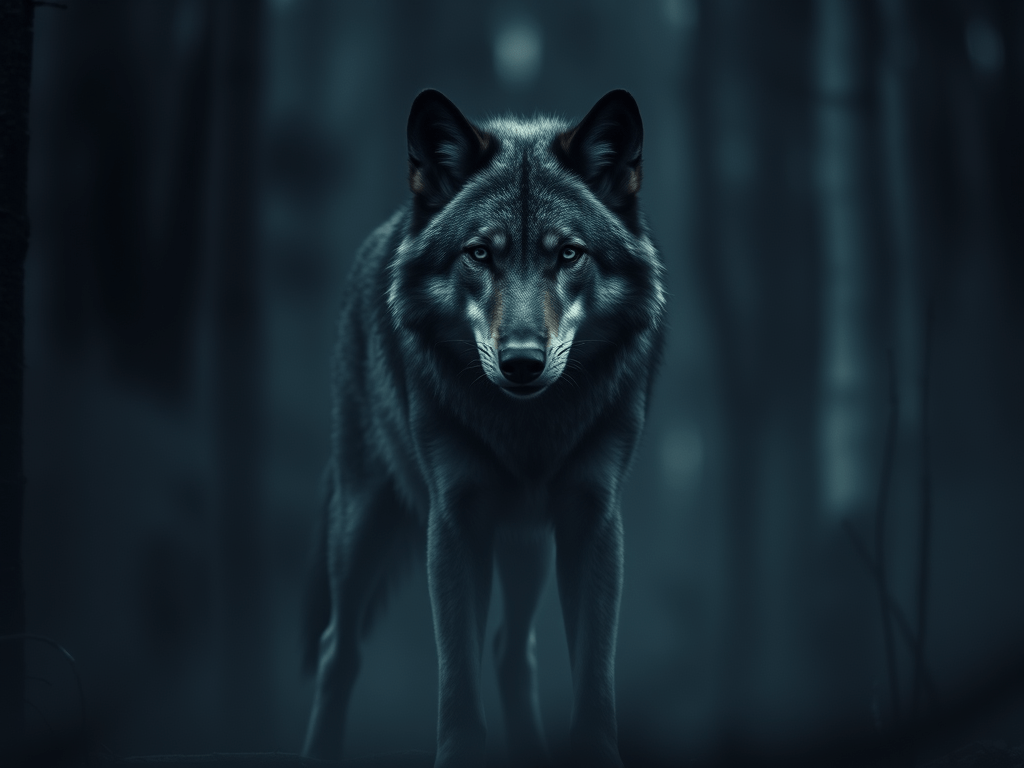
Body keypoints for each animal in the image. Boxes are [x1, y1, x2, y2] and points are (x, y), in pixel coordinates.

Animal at [302, 89, 666, 768]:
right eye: (480, 253)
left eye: (568, 253)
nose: (522, 360)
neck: (529, 429)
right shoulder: (455, 521)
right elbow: (458, 684)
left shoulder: (592, 519)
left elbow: (593, 678)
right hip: (363, 522)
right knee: (339, 648)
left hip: (525, 545)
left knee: (509, 649)